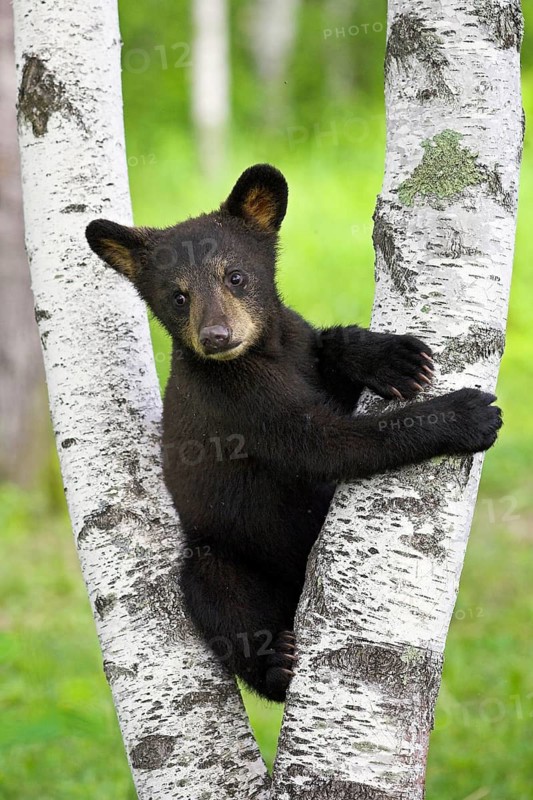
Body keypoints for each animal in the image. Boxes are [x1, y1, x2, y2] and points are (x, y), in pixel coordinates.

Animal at [86, 163, 502, 702]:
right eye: (178, 296)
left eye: (236, 276)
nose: (216, 337)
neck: (266, 352)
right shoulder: (239, 401)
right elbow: (324, 443)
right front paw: (465, 413)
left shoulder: (296, 342)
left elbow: (327, 351)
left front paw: (392, 357)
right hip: (221, 554)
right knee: (218, 597)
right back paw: (276, 665)